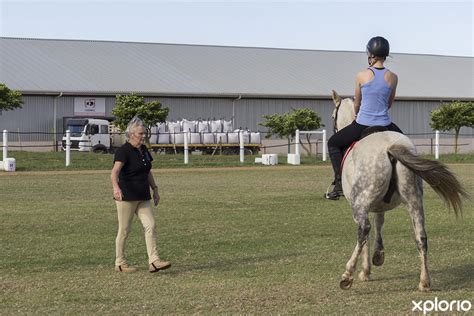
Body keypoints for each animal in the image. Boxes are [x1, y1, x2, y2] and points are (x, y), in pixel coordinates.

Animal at [332, 89, 468, 292]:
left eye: (333, 116)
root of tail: (390, 147)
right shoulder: (379, 206)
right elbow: (379, 223)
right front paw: (378, 255)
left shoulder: (366, 206)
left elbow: (368, 234)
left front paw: (365, 271)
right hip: (414, 201)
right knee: (421, 237)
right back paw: (424, 282)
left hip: (359, 204)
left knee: (364, 229)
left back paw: (347, 275)